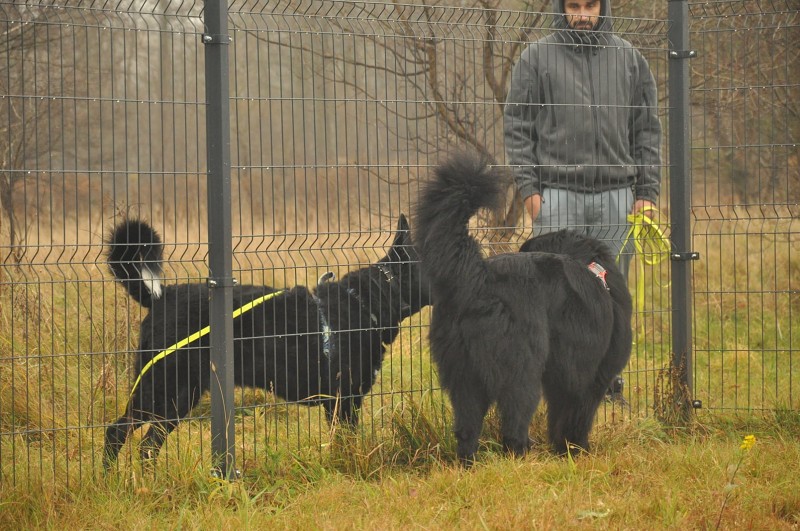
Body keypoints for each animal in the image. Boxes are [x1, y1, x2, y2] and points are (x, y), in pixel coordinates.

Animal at [102, 215, 431, 469]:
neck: (368, 301)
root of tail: (160, 297)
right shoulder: (344, 399)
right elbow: (346, 442)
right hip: (167, 392)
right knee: (126, 437)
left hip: (167, 396)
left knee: (135, 441)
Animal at [413, 152, 632, 463]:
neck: (591, 267)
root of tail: (478, 277)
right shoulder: (589, 378)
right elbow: (577, 417)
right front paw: (575, 450)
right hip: (522, 371)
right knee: (514, 421)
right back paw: (521, 454)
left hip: (463, 375)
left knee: (467, 428)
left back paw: (468, 463)